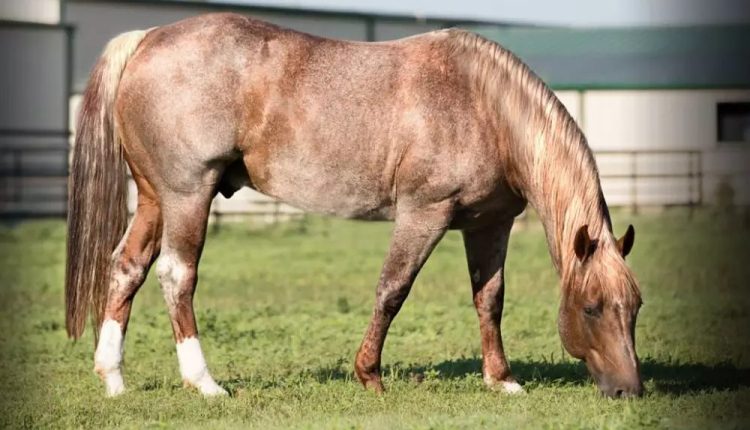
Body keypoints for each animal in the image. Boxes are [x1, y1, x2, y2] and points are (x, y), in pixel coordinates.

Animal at [66, 13, 648, 400]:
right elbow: (393, 290)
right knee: (177, 276)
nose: (629, 391)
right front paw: (369, 373)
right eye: (592, 307)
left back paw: (112, 378)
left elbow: (490, 300)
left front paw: (501, 380)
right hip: (189, 195)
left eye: (636, 307)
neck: (484, 107)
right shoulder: (424, 214)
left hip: (154, 198)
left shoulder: (489, 224)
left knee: (128, 268)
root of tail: (147, 38)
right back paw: (204, 383)